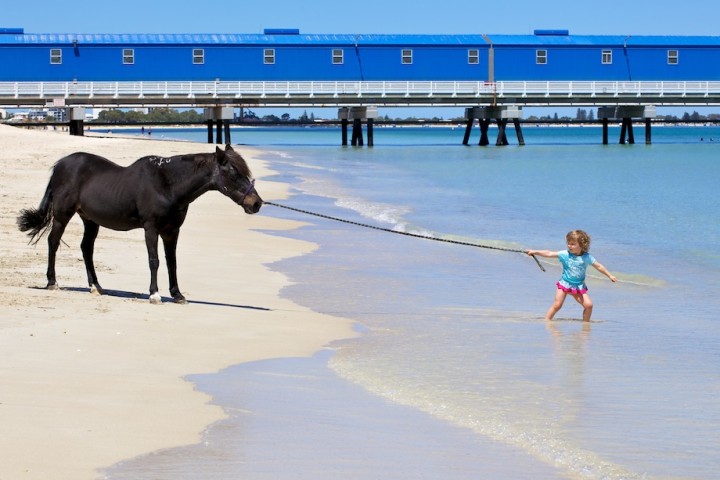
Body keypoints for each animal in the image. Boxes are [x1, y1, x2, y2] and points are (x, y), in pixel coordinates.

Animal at [17, 144, 263, 304]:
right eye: (234, 173)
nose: (256, 203)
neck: (167, 185)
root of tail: (60, 165)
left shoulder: (172, 231)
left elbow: (172, 262)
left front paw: (177, 295)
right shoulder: (151, 228)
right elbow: (154, 261)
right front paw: (154, 294)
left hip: (90, 220)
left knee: (86, 248)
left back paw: (96, 287)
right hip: (62, 215)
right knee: (53, 242)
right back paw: (52, 282)